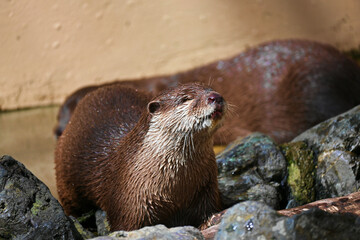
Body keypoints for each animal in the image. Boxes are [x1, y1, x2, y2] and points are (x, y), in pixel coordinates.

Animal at [54, 83, 225, 231]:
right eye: (186, 98)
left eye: (210, 89)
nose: (215, 97)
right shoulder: (130, 207)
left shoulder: (207, 188)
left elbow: (207, 212)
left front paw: (213, 220)